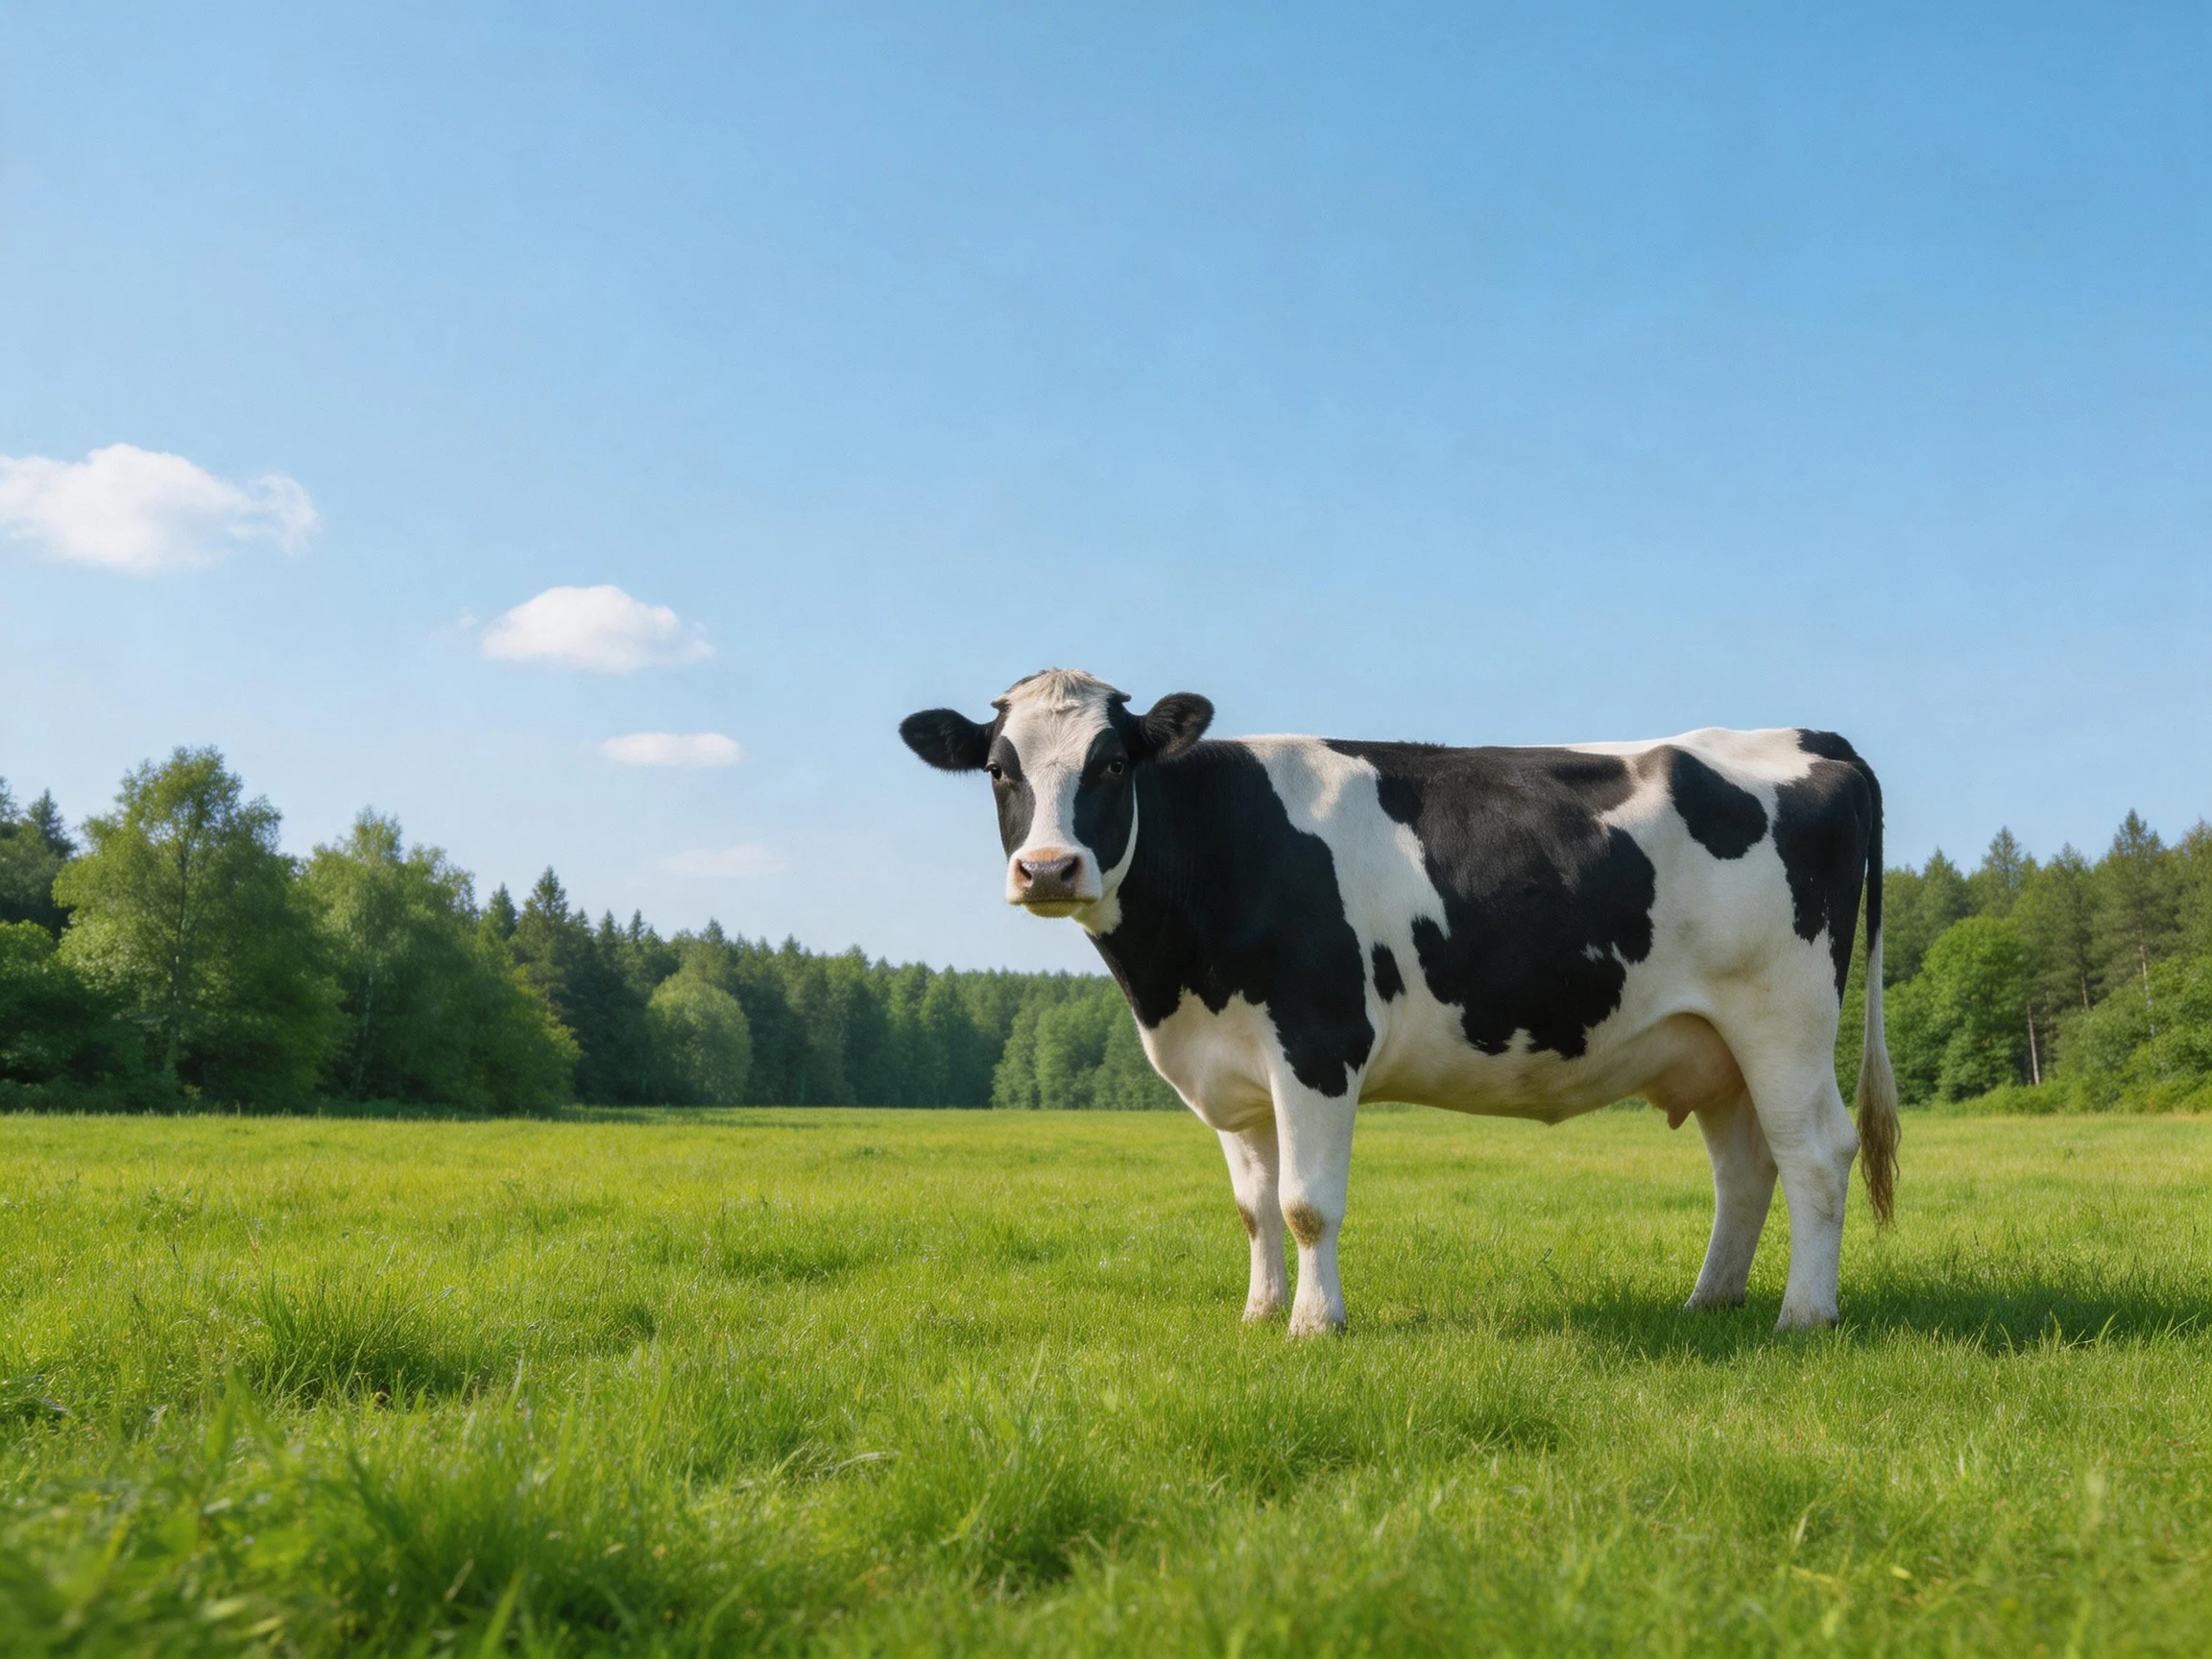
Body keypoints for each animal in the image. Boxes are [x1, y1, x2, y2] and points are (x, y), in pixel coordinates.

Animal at [901, 669, 1897, 1336]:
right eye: (1000, 770)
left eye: (1111, 765)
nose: (1048, 869)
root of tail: (1815, 739)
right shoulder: (1228, 1069)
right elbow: (1253, 1207)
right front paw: (1259, 1315)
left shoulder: (1316, 1041)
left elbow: (1306, 1203)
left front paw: (1315, 1326)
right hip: (1712, 1042)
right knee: (1747, 1168)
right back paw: (1710, 1302)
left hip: (1784, 1016)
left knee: (1816, 1154)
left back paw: (1803, 1317)